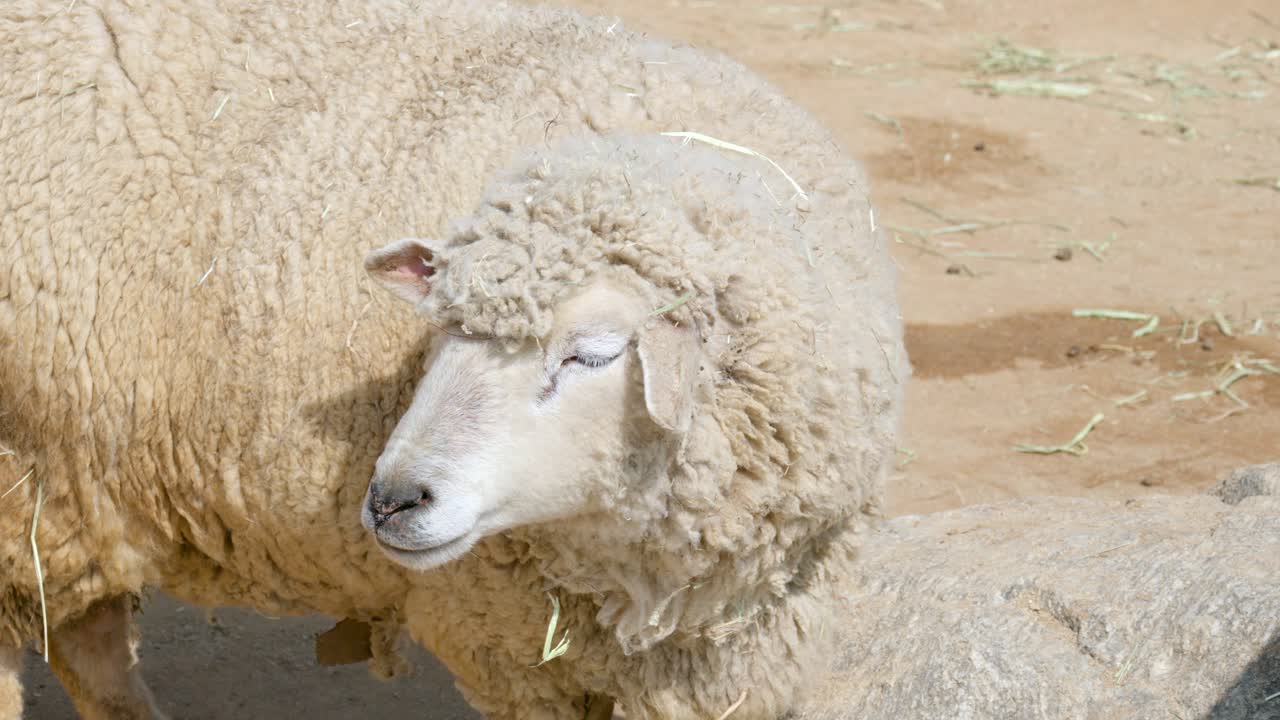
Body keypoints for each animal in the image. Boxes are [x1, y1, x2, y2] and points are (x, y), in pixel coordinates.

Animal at [0, 0, 904, 718]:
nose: (392, 501)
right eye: (440, 332)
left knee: (88, 641)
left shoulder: (730, 658)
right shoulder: (512, 647)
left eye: (592, 355)